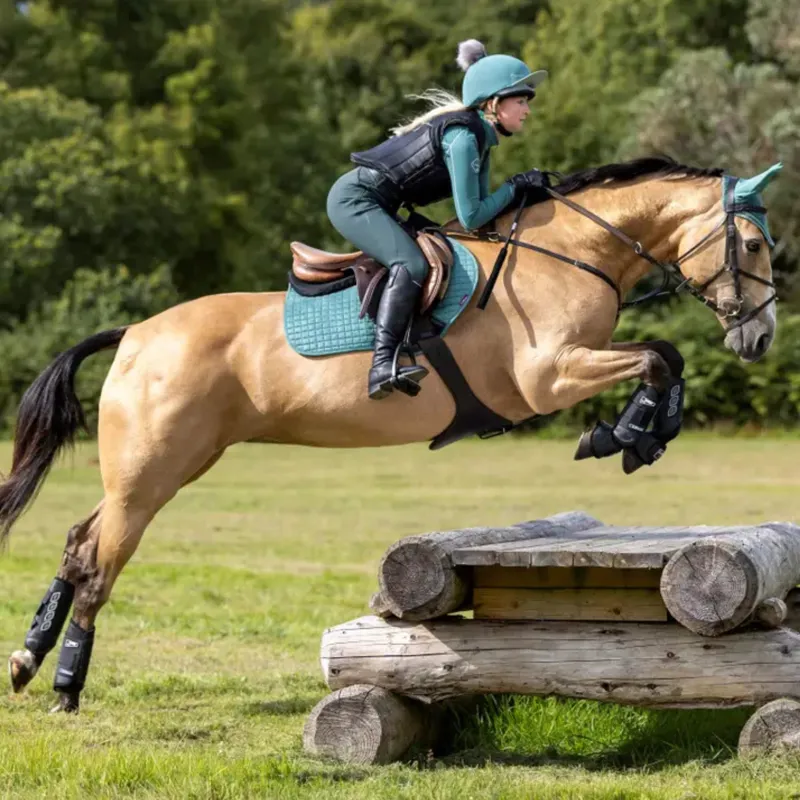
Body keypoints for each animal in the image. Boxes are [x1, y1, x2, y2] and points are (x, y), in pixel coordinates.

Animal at [4, 156, 780, 713]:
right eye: (750, 243)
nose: (762, 337)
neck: (571, 252)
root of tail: (135, 332)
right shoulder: (546, 378)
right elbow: (656, 357)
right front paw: (624, 435)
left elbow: (666, 357)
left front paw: (641, 435)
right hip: (151, 474)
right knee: (99, 562)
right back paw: (66, 686)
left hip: (160, 468)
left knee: (77, 541)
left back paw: (28, 661)